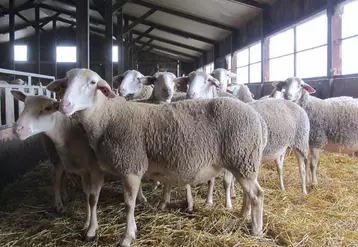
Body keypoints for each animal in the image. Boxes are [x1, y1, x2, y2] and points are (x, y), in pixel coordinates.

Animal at [46, 68, 268, 247]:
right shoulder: (107, 167)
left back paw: (256, 229)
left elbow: (129, 204)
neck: (107, 117)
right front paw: (95, 231)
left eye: (93, 83)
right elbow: (96, 198)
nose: (64, 105)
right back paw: (243, 214)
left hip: (242, 157)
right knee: (249, 193)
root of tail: (256, 116)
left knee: (257, 194)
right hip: (244, 161)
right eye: (65, 82)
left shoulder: (131, 164)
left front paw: (127, 237)